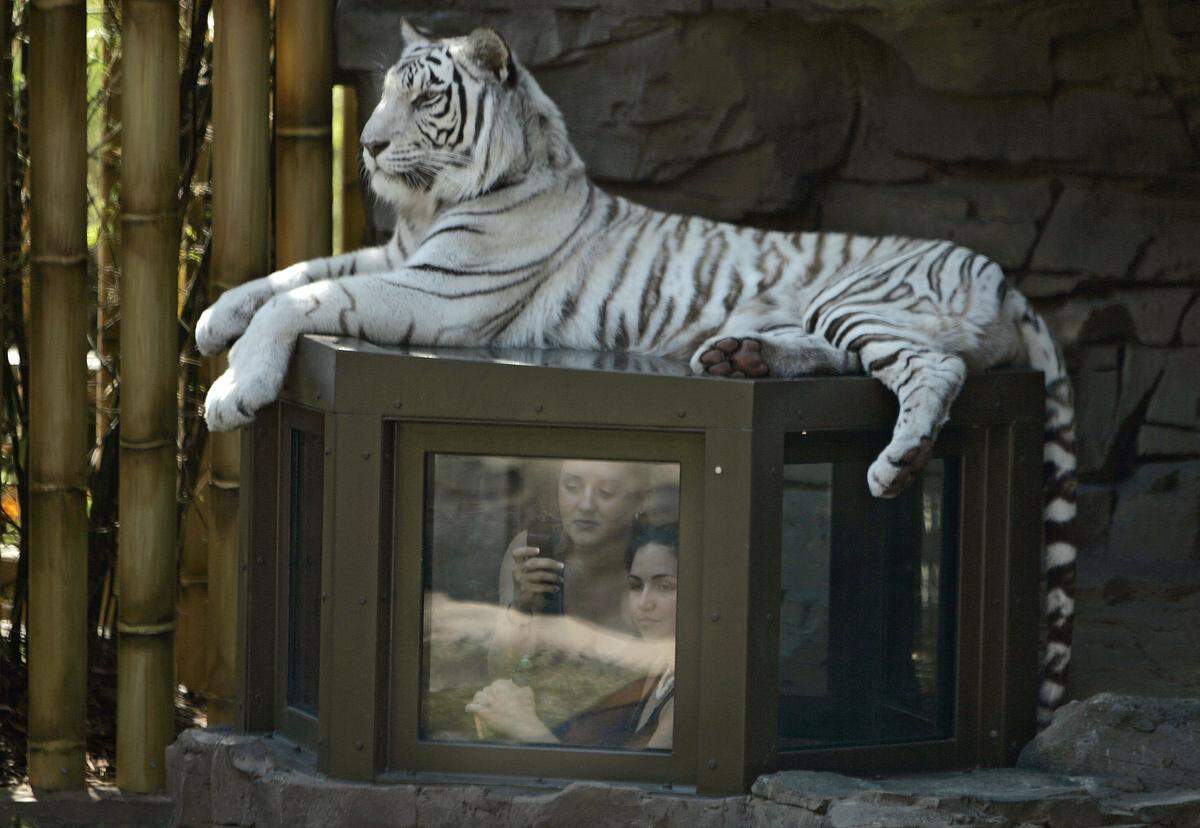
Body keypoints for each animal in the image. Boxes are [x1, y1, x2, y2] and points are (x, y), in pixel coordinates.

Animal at [196, 21, 1077, 724]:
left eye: (424, 101)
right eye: (382, 98)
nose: (370, 146)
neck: (434, 208)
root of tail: (998, 274)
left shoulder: (435, 291)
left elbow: (307, 296)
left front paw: (233, 390)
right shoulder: (396, 258)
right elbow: (297, 269)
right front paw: (212, 317)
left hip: (858, 302)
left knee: (934, 368)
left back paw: (896, 462)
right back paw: (737, 354)